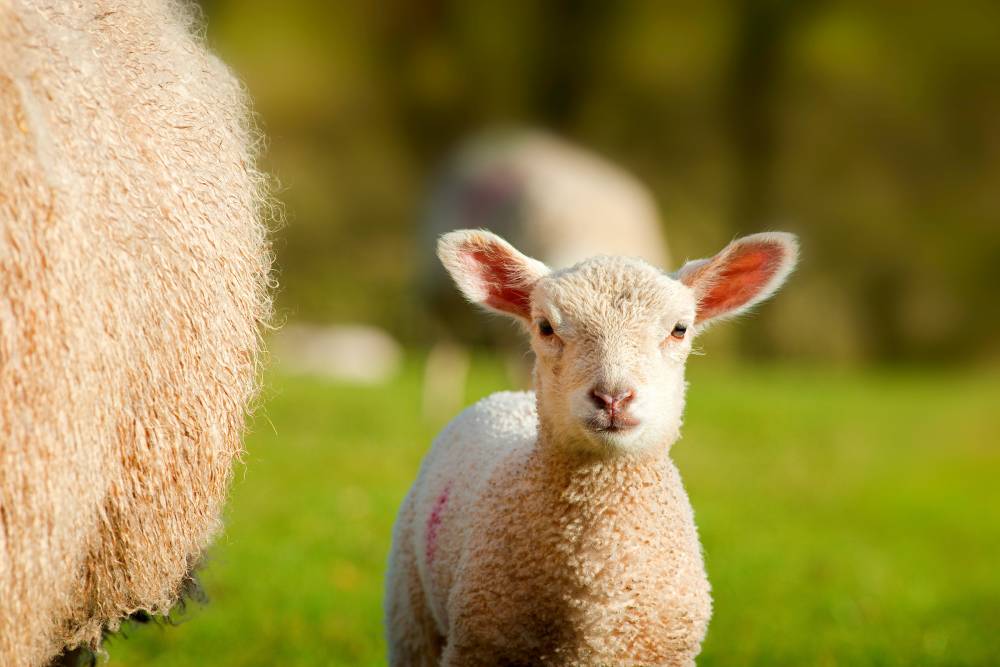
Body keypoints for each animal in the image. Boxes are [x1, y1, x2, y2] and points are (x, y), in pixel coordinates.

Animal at [384, 228, 796, 664]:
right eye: (546, 327)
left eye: (680, 329)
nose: (613, 397)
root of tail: (506, 396)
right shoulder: (479, 646)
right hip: (410, 615)